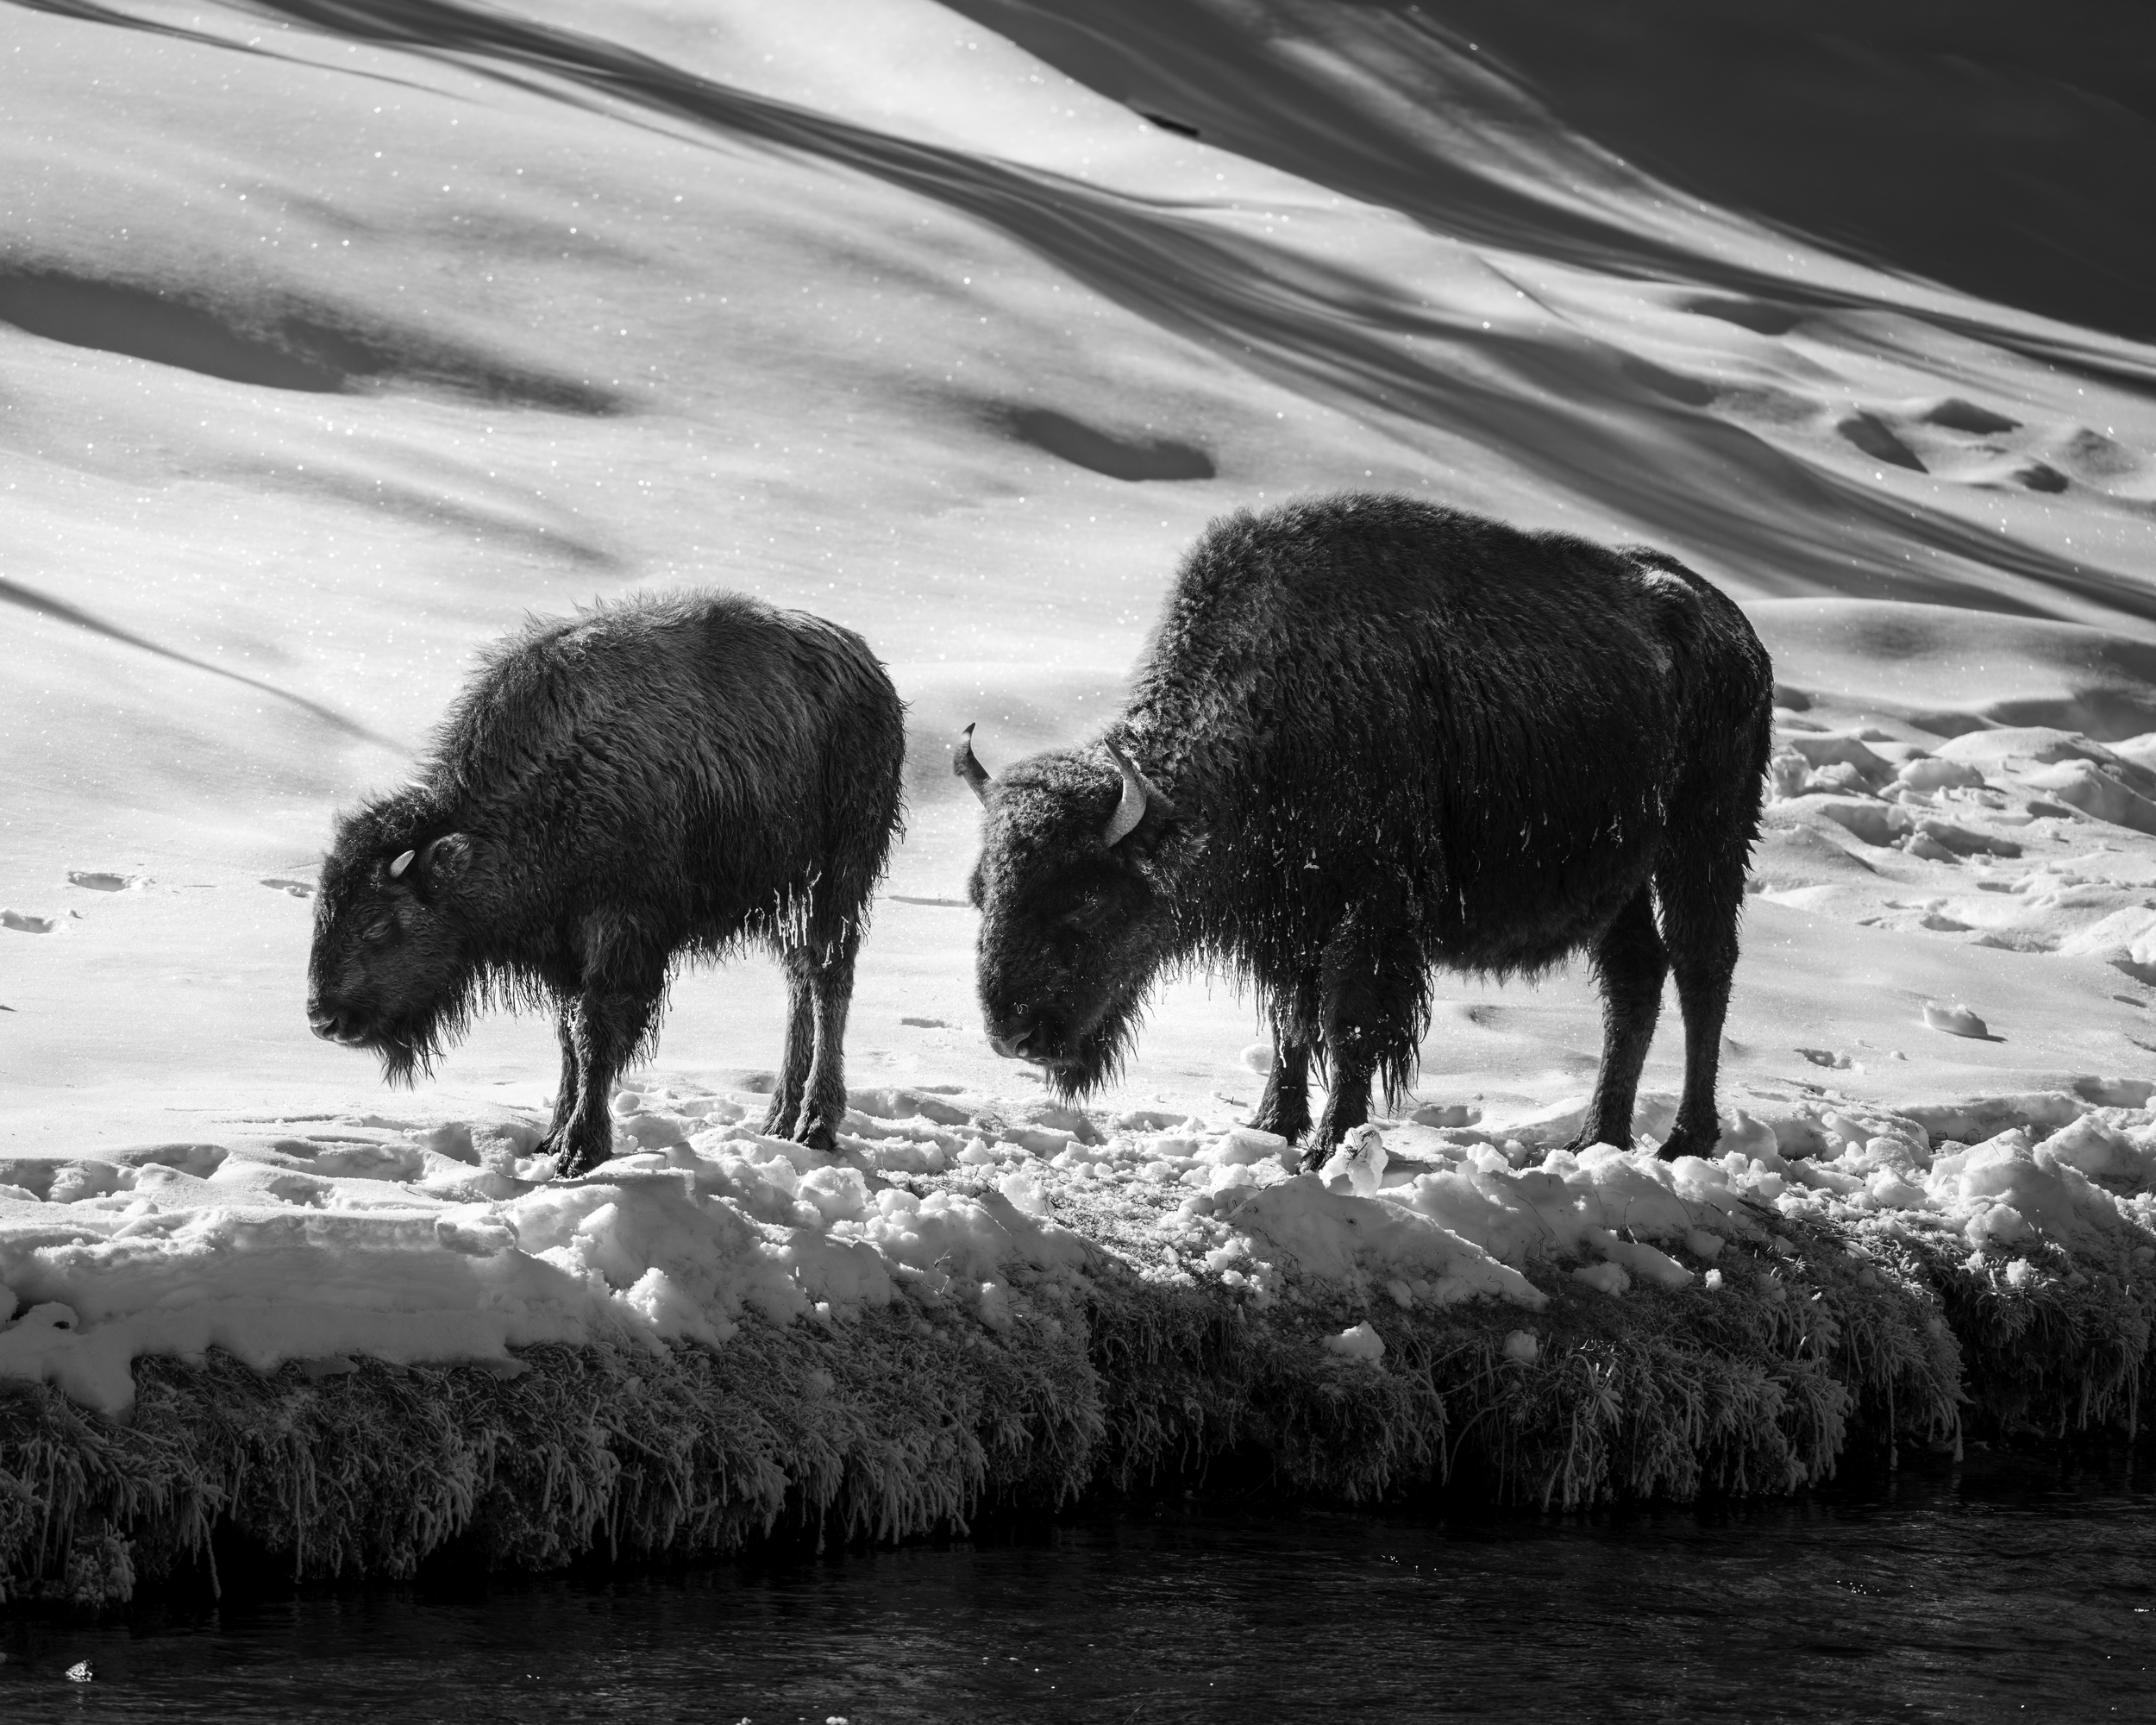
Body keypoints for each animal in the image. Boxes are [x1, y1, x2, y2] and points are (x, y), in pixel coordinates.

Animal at [308, 591, 904, 1175]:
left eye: (379, 924)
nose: (322, 1019)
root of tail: (867, 668)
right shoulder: (566, 954)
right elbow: (569, 1040)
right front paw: (551, 1138)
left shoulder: (619, 934)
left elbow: (594, 1036)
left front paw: (580, 1150)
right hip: (787, 901)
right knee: (799, 982)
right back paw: (779, 1118)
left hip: (834, 883)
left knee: (828, 981)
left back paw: (815, 1125)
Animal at [958, 493, 1773, 1165]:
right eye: (981, 892)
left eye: (1087, 899)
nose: (1013, 1035)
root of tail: (1735, 630)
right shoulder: (1291, 923)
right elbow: (1292, 1025)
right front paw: (1271, 1126)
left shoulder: (1372, 909)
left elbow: (1348, 1023)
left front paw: (1328, 1144)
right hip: (1623, 880)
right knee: (1635, 980)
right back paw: (1595, 1138)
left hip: (1705, 843)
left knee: (1703, 968)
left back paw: (1684, 1140)